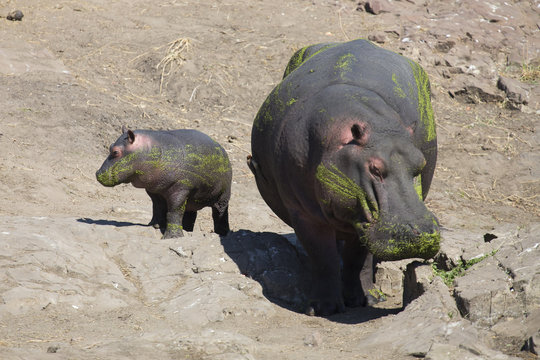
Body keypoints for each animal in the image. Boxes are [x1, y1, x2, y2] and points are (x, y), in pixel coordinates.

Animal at [96, 127, 231, 239]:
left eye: (115, 152)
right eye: (110, 146)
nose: (97, 173)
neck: (150, 148)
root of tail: (222, 149)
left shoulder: (180, 189)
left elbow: (174, 212)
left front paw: (171, 237)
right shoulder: (154, 190)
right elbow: (157, 208)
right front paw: (154, 225)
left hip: (223, 196)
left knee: (220, 214)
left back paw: (222, 234)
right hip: (192, 201)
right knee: (190, 215)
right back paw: (187, 230)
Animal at [249, 38, 438, 316]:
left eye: (420, 163)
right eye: (374, 168)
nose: (424, 233)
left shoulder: (361, 216)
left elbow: (356, 259)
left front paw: (363, 300)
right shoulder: (305, 212)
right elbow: (323, 258)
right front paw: (323, 308)